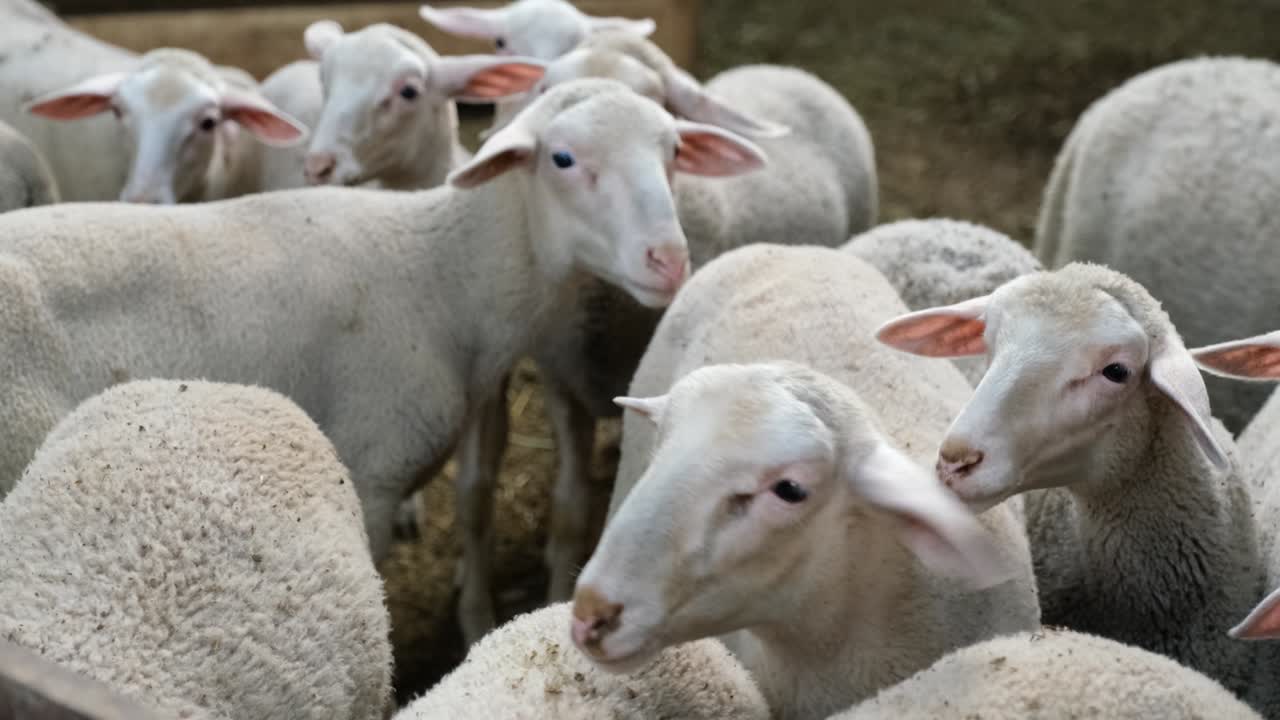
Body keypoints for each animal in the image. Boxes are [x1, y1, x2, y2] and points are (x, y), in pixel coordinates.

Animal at [439, 29, 879, 646]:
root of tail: (787, 70)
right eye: (560, 152)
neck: (610, 308)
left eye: (671, 140)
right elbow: (569, 506)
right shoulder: (560, 378)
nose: (667, 258)